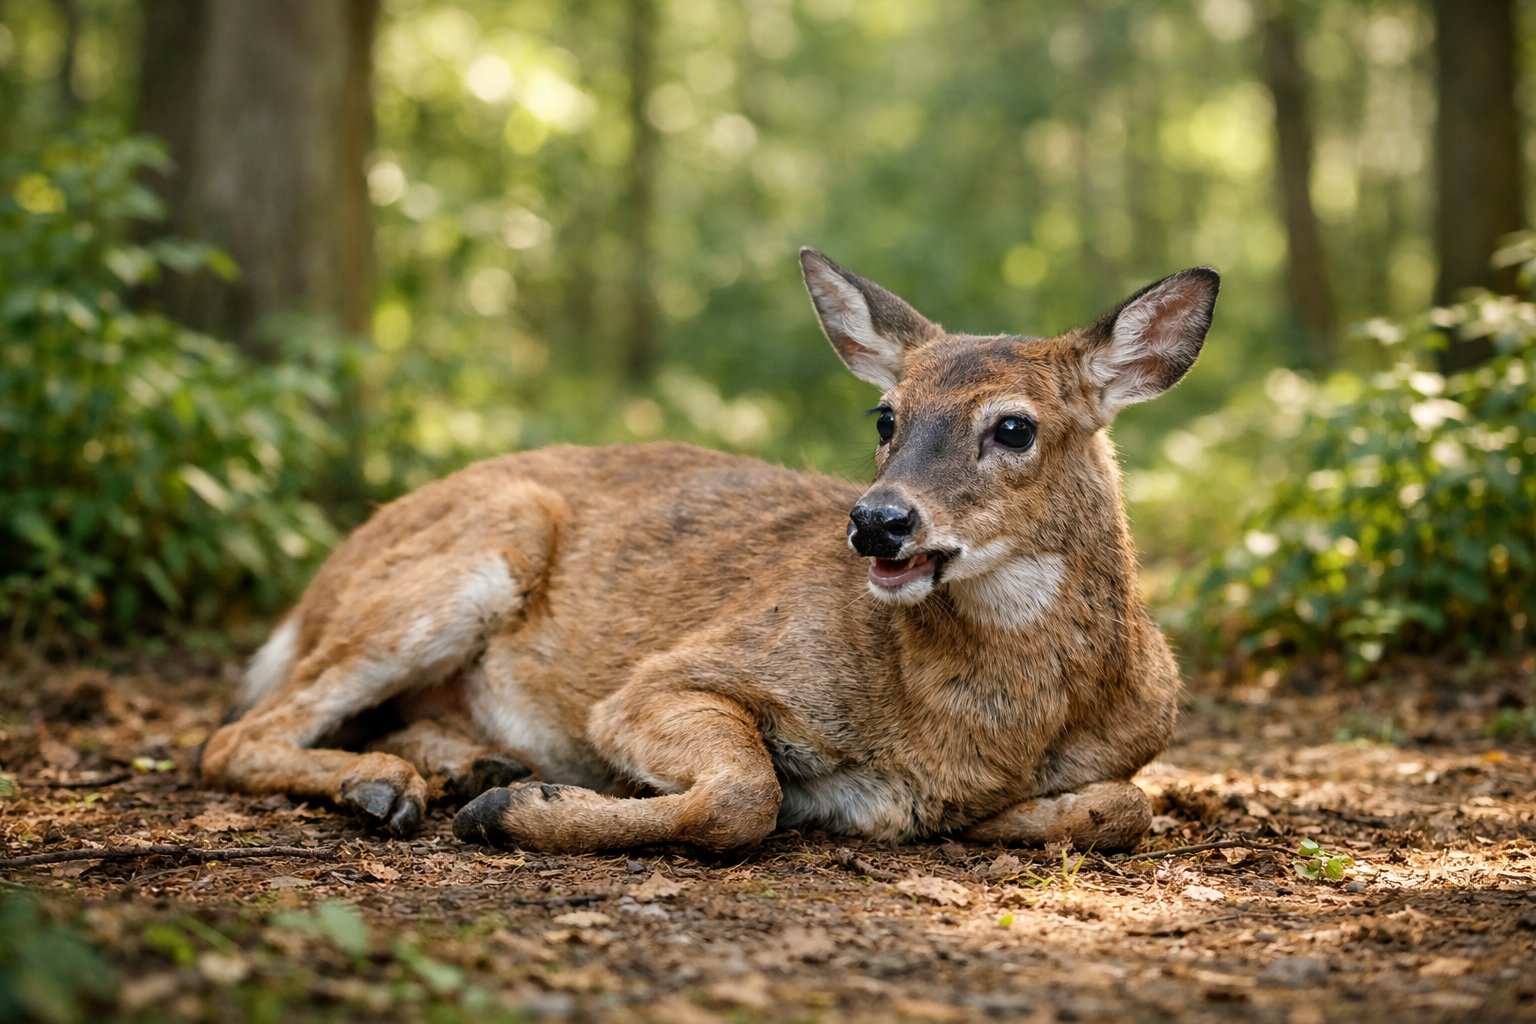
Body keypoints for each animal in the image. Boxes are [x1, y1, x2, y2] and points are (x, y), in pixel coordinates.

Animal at [200, 249, 1218, 855]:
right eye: (884, 416)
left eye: (1014, 427)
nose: (878, 521)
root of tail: (318, 585)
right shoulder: (664, 678)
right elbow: (745, 795)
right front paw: (518, 815)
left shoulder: (1127, 752)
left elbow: (1124, 807)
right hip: (473, 555)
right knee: (233, 733)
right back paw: (397, 788)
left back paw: (469, 768)